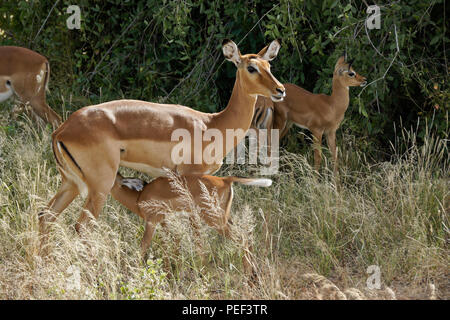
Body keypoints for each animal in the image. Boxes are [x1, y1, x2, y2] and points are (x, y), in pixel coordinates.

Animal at [110, 172, 270, 276]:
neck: (139, 198)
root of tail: (225, 180)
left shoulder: (152, 222)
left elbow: (144, 247)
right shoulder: (164, 223)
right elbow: (169, 247)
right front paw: (170, 274)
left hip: (214, 220)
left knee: (241, 238)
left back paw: (247, 274)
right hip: (224, 217)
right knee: (247, 234)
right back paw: (254, 274)